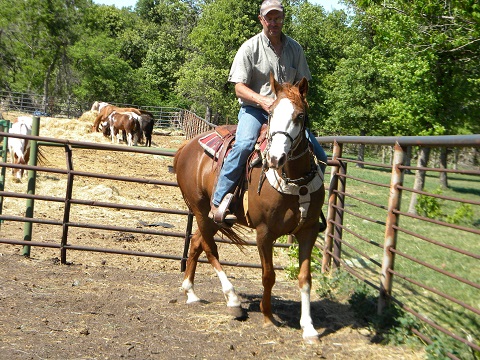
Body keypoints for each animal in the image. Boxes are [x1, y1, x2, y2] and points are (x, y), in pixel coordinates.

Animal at [173, 74, 326, 344]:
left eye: (300, 115)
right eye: (271, 113)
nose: (275, 158)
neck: (294, 179)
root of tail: (186, 147)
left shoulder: (308, 231)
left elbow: (305, 278)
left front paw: (309, 328)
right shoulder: (264, 233)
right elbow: (268, 275)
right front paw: (267, 317)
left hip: (210, 218)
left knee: (196, 243)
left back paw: (190, 292)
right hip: (202, 212)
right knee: (210, 249)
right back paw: (232, 300)